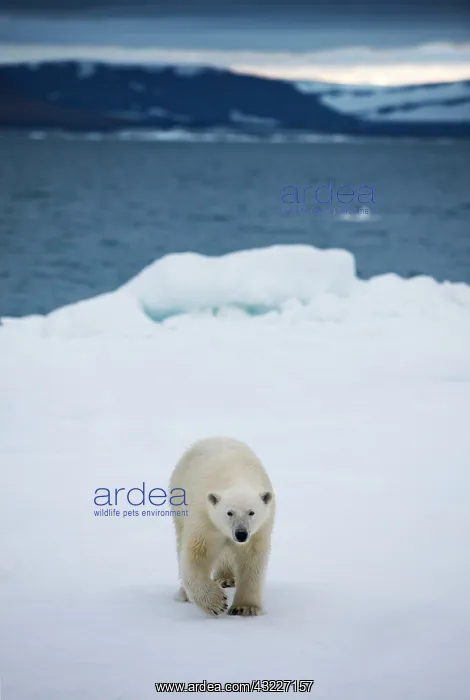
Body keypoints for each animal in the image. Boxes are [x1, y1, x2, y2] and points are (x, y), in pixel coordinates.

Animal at [169, 436, 275, 617]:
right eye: (229, 512)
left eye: (252, 512)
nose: (241, 534)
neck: (237, 476)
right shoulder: (205, 518)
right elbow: (196, 555)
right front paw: (216, 602)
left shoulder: (260, 528)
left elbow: (252, 559)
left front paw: (245, 607)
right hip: (178, 497)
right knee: (180, 540)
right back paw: (186, 593)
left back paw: (226, 578)